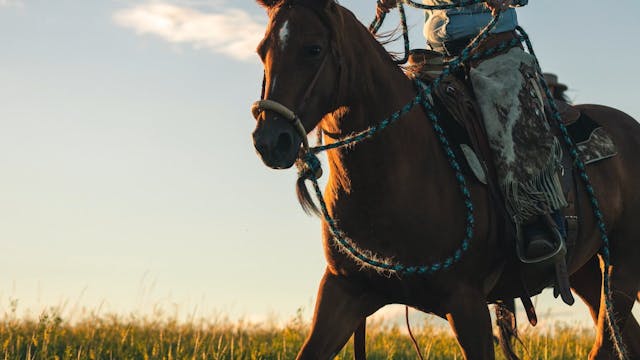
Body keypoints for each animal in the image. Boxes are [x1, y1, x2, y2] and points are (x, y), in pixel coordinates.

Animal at [249, 1, 640, 358]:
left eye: (313, 49)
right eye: (262, 50)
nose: (269, 140)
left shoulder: (466, 302)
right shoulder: (343, 290)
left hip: (622, 265)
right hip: (586, 272)